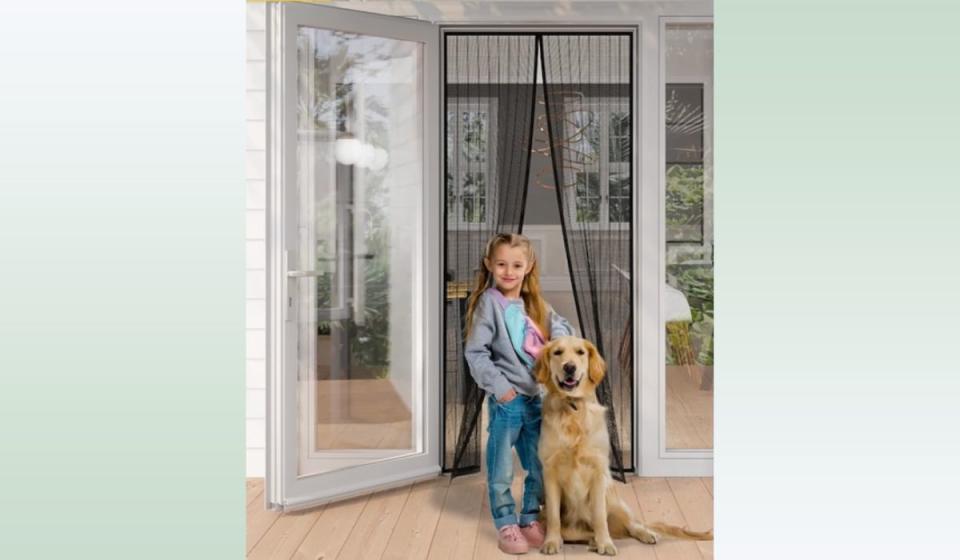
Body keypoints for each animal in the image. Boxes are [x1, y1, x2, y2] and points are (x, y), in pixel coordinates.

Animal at [536, 336, 708, 556]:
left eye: (580, 352)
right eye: (557, 352)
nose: (569, 367)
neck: (574, 409)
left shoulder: (598, 471)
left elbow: (600, 516)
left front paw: (605, 543)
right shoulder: (549, 471)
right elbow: (553, 516)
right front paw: (551, 541)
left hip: (615, 501)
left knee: (632, 525)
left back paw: (644, 534)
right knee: (582, 532)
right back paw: (591, 541)